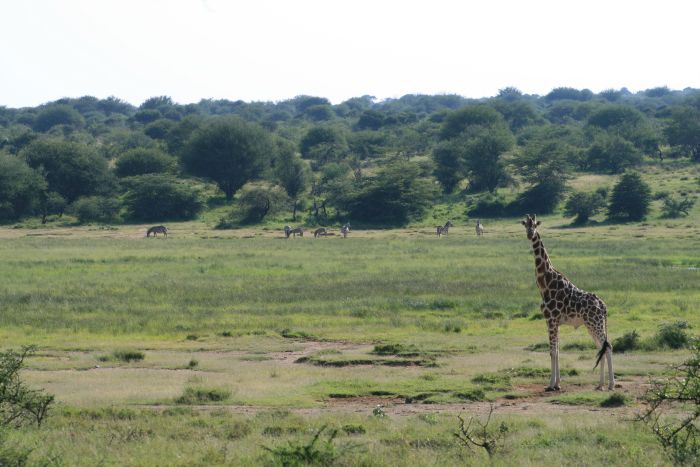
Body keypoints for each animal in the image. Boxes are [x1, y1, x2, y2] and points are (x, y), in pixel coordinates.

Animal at [520, 216, 612, 392]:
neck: (545, 283)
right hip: (592, 325)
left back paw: (611, 384)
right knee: (601, 348)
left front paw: (551, 385)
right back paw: (600, 384)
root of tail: (603, 306)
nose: (530, 234)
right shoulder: (555, 322)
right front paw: (557, 383)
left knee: (608, 346)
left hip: (595, 323)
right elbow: (556, 350)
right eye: (525, 225)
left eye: (535, 225)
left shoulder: (550, 319)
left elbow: (552, 351)